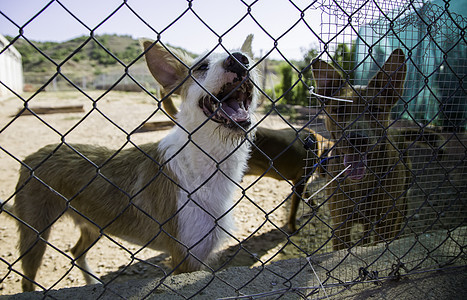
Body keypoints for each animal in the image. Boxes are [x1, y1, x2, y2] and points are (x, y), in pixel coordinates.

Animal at [12, 35, 260, 290]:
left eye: (246, 57)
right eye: (202, 67)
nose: (239, 60)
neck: (204, 162)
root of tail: (32, 156)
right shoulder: (186, 258)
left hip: (94, 224)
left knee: (77, 250)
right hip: (35, 235)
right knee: (27, 280)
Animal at [314, 49, 410, 250]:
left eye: (375, 109)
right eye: (340, 109)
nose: (357, 140)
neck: (361, 183)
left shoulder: (386, 222)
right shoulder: (340, 226)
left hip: (400, 208)